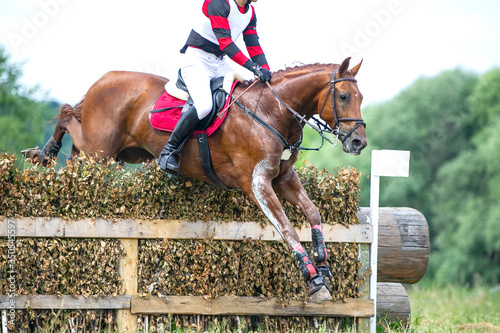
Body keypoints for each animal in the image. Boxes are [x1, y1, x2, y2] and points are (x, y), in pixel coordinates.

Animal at [24, 56, 368, 298]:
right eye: (343, 96)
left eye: (361, 97)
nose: (358, 143)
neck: (271, 111)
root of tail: (103, 79)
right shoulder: (257, 184)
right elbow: (287, 228)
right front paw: (313, 278)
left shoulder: (283, 178)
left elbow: (313, 211)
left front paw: (323, 264)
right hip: (99, 150)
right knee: (67, 115)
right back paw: (43, 152)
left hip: (110, 156)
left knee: (73, 154)